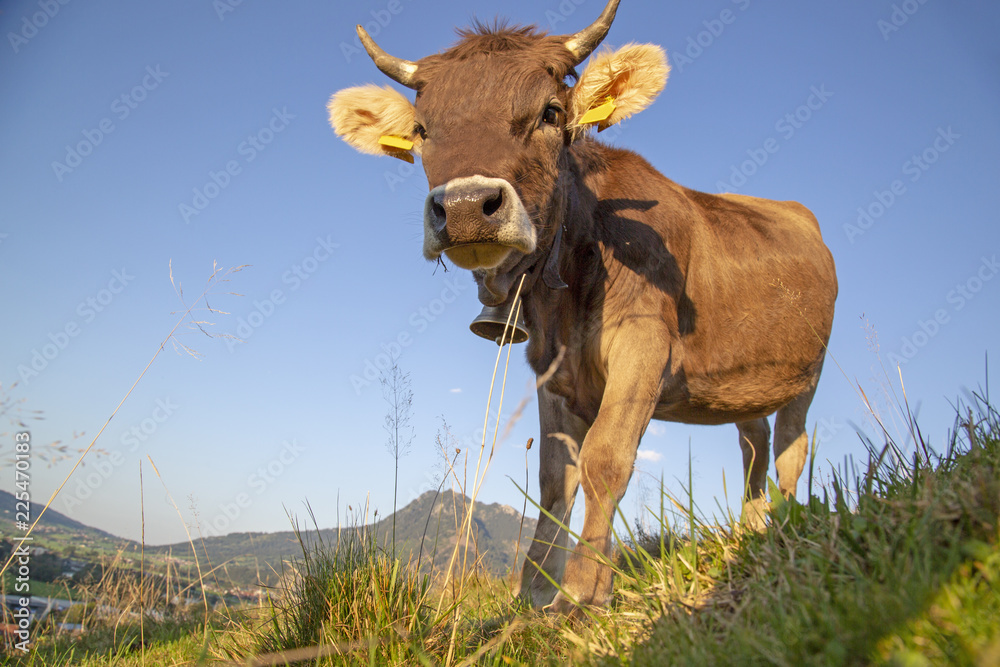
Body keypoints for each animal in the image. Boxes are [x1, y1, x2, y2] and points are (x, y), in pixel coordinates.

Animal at [328, 0, 836, 616]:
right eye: (423, 131)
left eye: (550, 113)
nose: (467, 205)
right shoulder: (550, 369)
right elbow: (554, 478)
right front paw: (533, 591)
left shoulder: (645, 345)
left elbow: (604, 459)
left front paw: (584, 588)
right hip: (743, 381)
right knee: (753, 446)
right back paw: (751, 529)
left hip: (806, 373)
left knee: (790, 449)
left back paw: (781, 528)